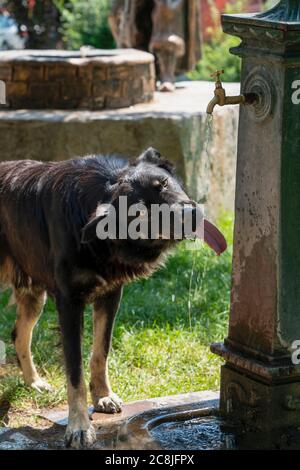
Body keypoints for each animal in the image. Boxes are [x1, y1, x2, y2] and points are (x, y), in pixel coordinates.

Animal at [0, 148, 226, 448]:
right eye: (140, 213)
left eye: (163, 183)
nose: (191, 215)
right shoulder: (69, 302)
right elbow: (75, 372)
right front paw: (79, 426)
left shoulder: (110, 295)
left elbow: (100, 352)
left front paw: (103, 396)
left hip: (33, 293)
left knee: (19, 334)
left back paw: (34, 382)